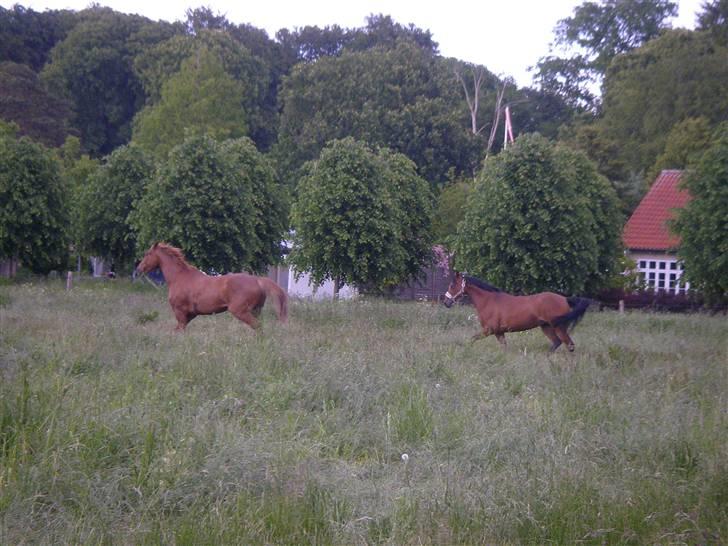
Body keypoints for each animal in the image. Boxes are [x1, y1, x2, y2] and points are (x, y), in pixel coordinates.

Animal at [136, 243, 288, 330]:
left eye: (148, 254)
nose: (139, 269)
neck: (179, 278)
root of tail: (257, 280)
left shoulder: (180, 312)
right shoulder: (190, 315)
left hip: (240, 311)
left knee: (257, 326)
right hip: (256, 310)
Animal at [444, 270, 592, 350]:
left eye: (452, 285)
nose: (446, 302)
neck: (488, 301)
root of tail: (565, 299)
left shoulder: (489, 330)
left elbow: (472, 339)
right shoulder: (499, 333)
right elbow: (504, 348)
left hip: (559, 327)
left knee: (569, 345)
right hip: (546, 327)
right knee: (557, 343)